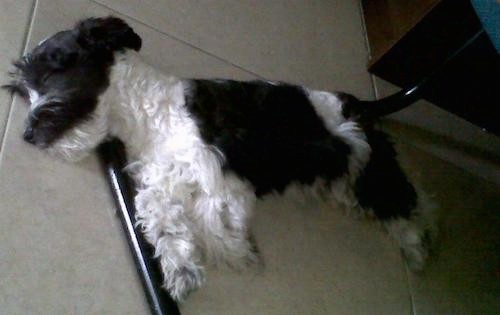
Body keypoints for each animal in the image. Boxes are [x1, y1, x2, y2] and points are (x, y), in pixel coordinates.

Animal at [2, 16, 434, 302]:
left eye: (51, 72)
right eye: (25, 92)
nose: (27, 135)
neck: (152, 113)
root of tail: (361, 105)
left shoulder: (220, 174)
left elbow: (215, 221)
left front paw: (237, 254)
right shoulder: (162, 178)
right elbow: (160, 216)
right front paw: (182, 269)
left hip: (363, 163)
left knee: (403, 202)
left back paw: (417, 250)